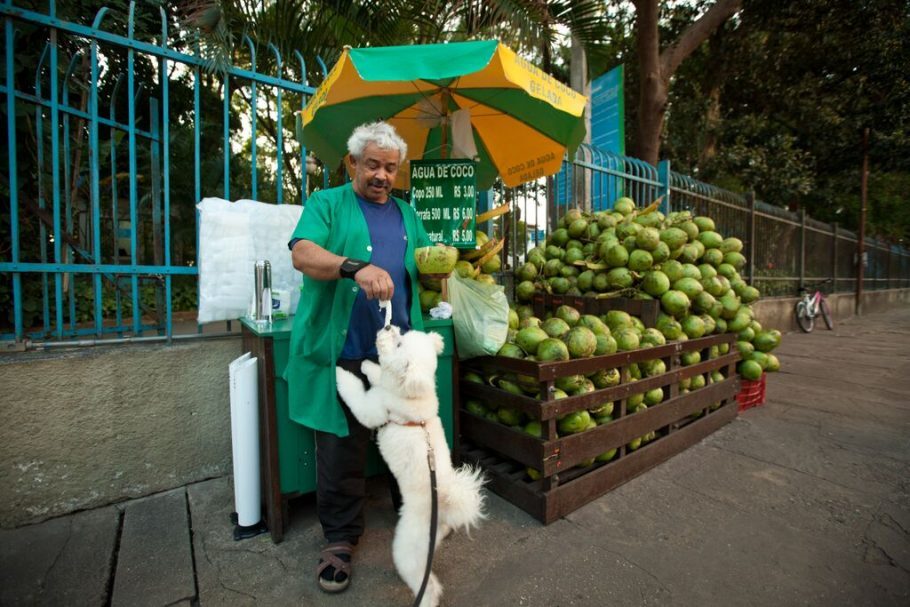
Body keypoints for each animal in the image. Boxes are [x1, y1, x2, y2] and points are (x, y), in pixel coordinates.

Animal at [338, 328, 488, 607]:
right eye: (402, 334)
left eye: (398, 344)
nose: (388, 328)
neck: (409, 393)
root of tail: (446, 505)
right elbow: (378, 374)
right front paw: (368, 366)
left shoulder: (373, 411)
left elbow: (355, 393)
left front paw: (340, 373)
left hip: (408, 549)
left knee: (424, 582)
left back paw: (425, 599)